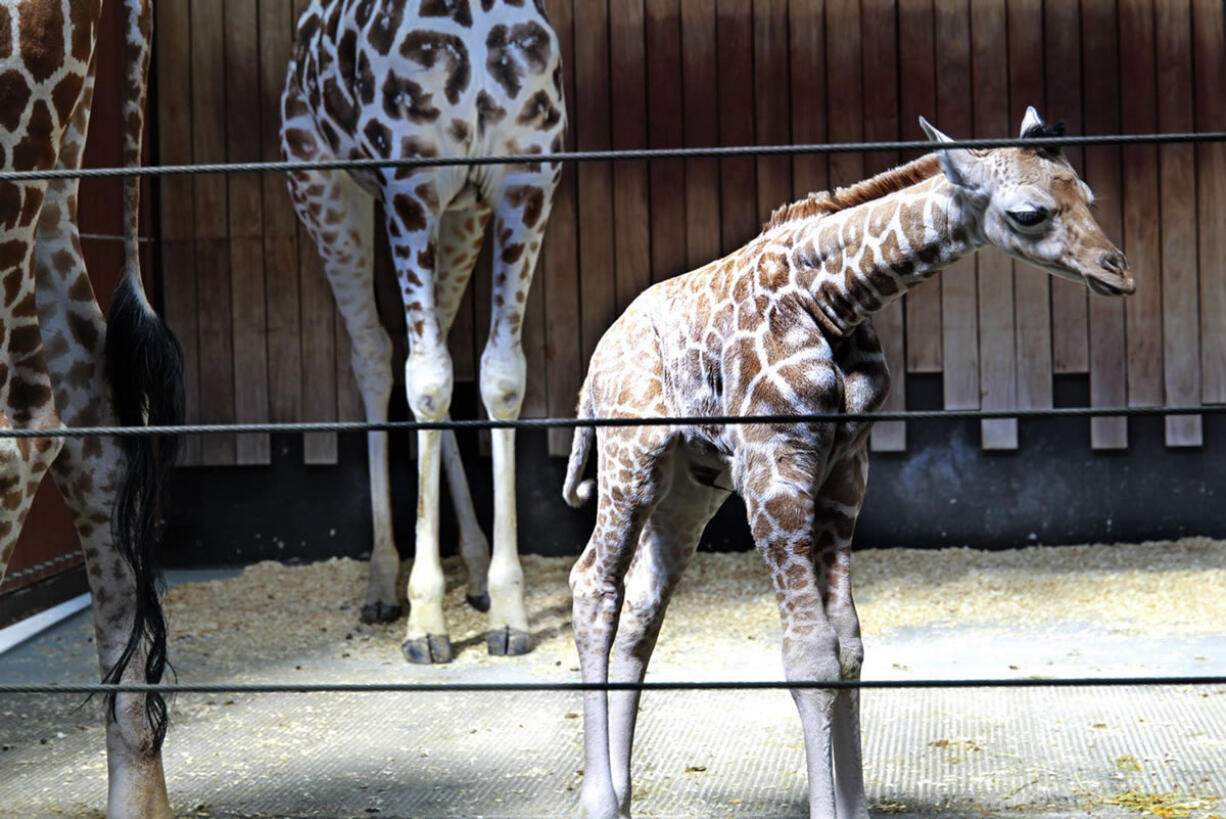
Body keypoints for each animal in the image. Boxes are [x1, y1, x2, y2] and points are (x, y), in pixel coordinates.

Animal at [280, 0, 563, 666]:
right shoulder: (411, 184)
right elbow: (427, 380)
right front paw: (426, 621)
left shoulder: (526, 180)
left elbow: (498, 378)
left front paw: (507, 610)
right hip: (322, 183)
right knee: (376, 355)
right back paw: (383, 584)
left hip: (458, 212)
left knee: (430, 350)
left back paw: (475, 567)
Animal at [561, 108, 1132, 819]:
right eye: (1029, 213)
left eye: (1088, 194)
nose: (1118, 271)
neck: (832, 299)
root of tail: (593, 365)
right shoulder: (774, 468)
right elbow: (809, 655)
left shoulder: (845, 471)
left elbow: (850, 647)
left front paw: (854, 804)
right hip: (631, 459)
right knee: (593, 585)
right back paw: (599, 797)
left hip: (692, 485)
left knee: (642, 605)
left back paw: (626, 793)